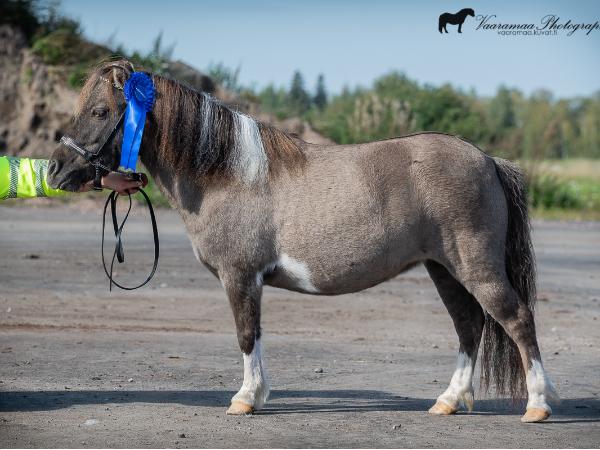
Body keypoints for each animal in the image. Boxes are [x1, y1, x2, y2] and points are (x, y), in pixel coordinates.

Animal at [47, 60, 558, 423]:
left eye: (100, 111)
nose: (54, 170)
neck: (227, 174)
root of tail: (488, 160)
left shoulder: (240, 277)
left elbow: (247, 335)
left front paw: (245, 399)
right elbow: (254, 335)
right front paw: (255, 395)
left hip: (476, 267)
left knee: (516, 320)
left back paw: (537, 405)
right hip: (444, 270)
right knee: (469, 327)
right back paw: (448, 401)